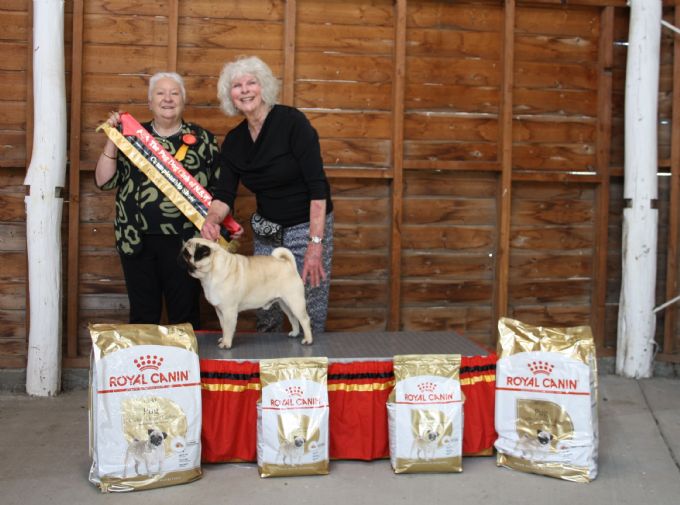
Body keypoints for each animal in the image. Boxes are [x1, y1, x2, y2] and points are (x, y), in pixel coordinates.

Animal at [181, 237, 313, 349]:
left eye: (188, 254)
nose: (181, 251)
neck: (211, 272)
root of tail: (289, 264)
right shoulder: (220, 311)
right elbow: (223, 327)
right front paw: (223, 339)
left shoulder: (229, 311)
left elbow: (228, 328)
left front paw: (226, 343)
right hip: (285, 304)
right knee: (293, 318)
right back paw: (295, 333)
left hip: (295, 301)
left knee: (305, 320)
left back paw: (308, 340)